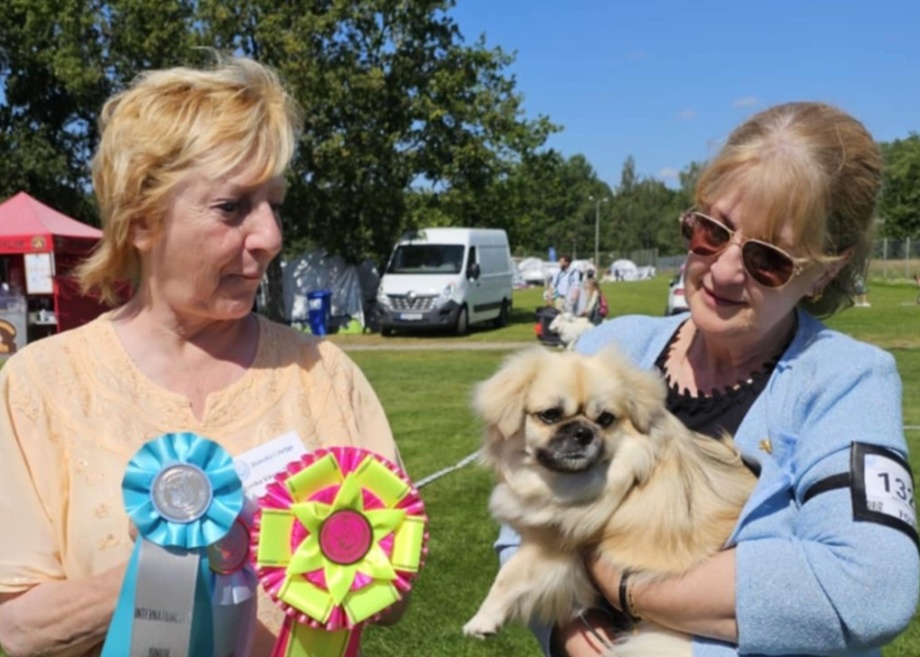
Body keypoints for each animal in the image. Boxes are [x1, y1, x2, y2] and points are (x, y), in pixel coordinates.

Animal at [462, 346, 757, 656]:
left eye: (605, 419)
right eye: (550, 415)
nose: (583, 432)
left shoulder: (553, 545)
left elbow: (509, 576)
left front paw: (482, 621)